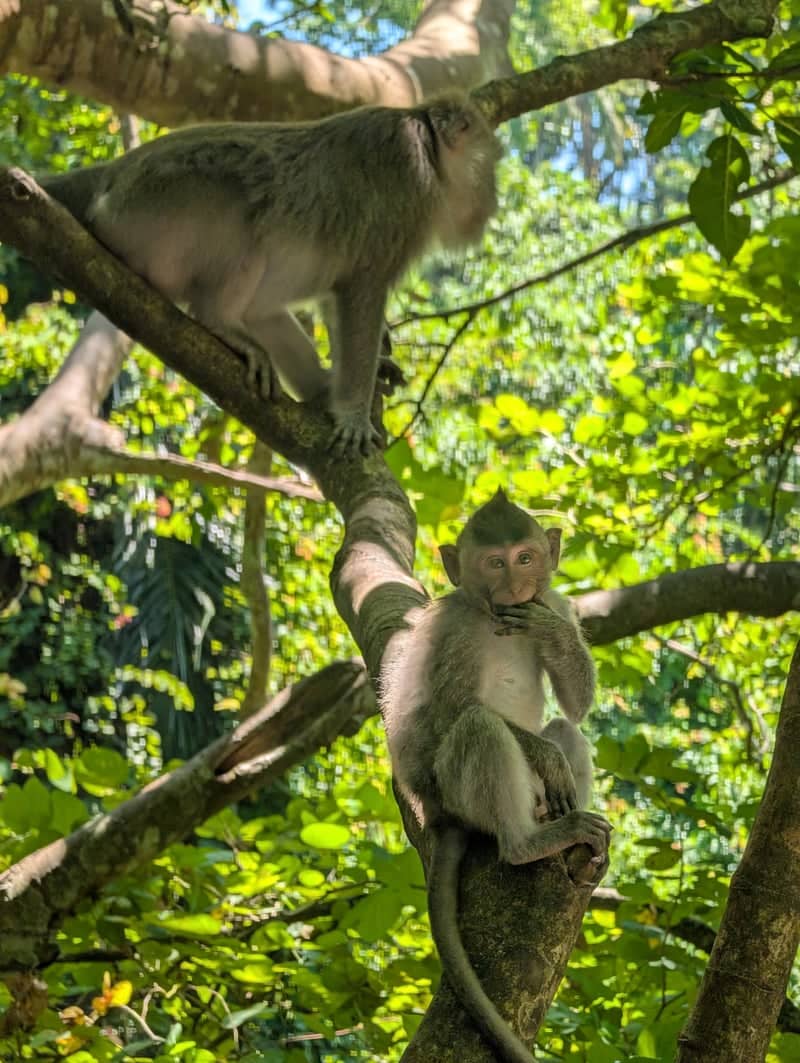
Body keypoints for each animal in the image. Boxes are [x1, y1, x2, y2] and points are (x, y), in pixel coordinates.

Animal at [38, 97, 501, 456]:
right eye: (491, 164)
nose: (492, 201)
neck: (427, 148)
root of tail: (111, 172)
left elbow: (335, 297)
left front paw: (353, 383)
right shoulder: (406, 188)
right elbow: (361, 289)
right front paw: (353, 415)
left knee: (263, 309)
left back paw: (318, 388)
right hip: (151, 207)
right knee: (246, 207)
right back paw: (220, 321)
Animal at [379, 488, 611, 1063]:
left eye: (524, 557)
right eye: (494, 562)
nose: (515, 584)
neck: (493, 615)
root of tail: (439, 814)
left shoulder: (557, 602)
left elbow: (576, 706)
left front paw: (548, 631)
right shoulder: (452, 632)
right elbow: (449, 712)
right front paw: (543, 755)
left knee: (564, 729)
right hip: (454, 791)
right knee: (479, 726)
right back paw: (529, 842)